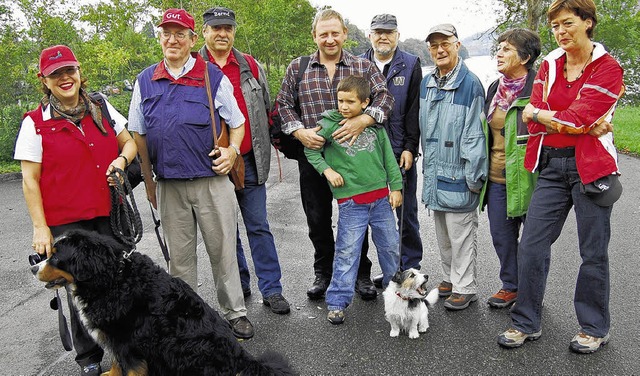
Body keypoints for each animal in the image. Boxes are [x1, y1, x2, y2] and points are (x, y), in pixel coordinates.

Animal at [30, 229, 296, 376]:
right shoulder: (116, 337)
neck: (112, 278)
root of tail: (241, 358)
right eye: (48, 254)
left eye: (56, 257)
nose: (33, 267)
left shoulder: (127, 340)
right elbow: (116, 361)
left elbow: (129, 367)